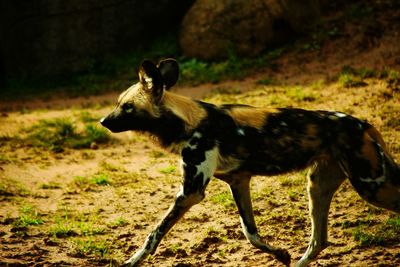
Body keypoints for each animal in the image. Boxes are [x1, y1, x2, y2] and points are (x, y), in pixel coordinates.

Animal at [101, 59, 400, 267]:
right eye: (118, 103)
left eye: (126, 107)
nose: (103, 121)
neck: (187, 121)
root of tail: (363, 124)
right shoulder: (238, 181)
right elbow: (251, 233)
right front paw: (281, 254)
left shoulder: (190, 193)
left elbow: (153, 235)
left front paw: (131, 261)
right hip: (317, 186)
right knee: (319, 240)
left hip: (371, 185)